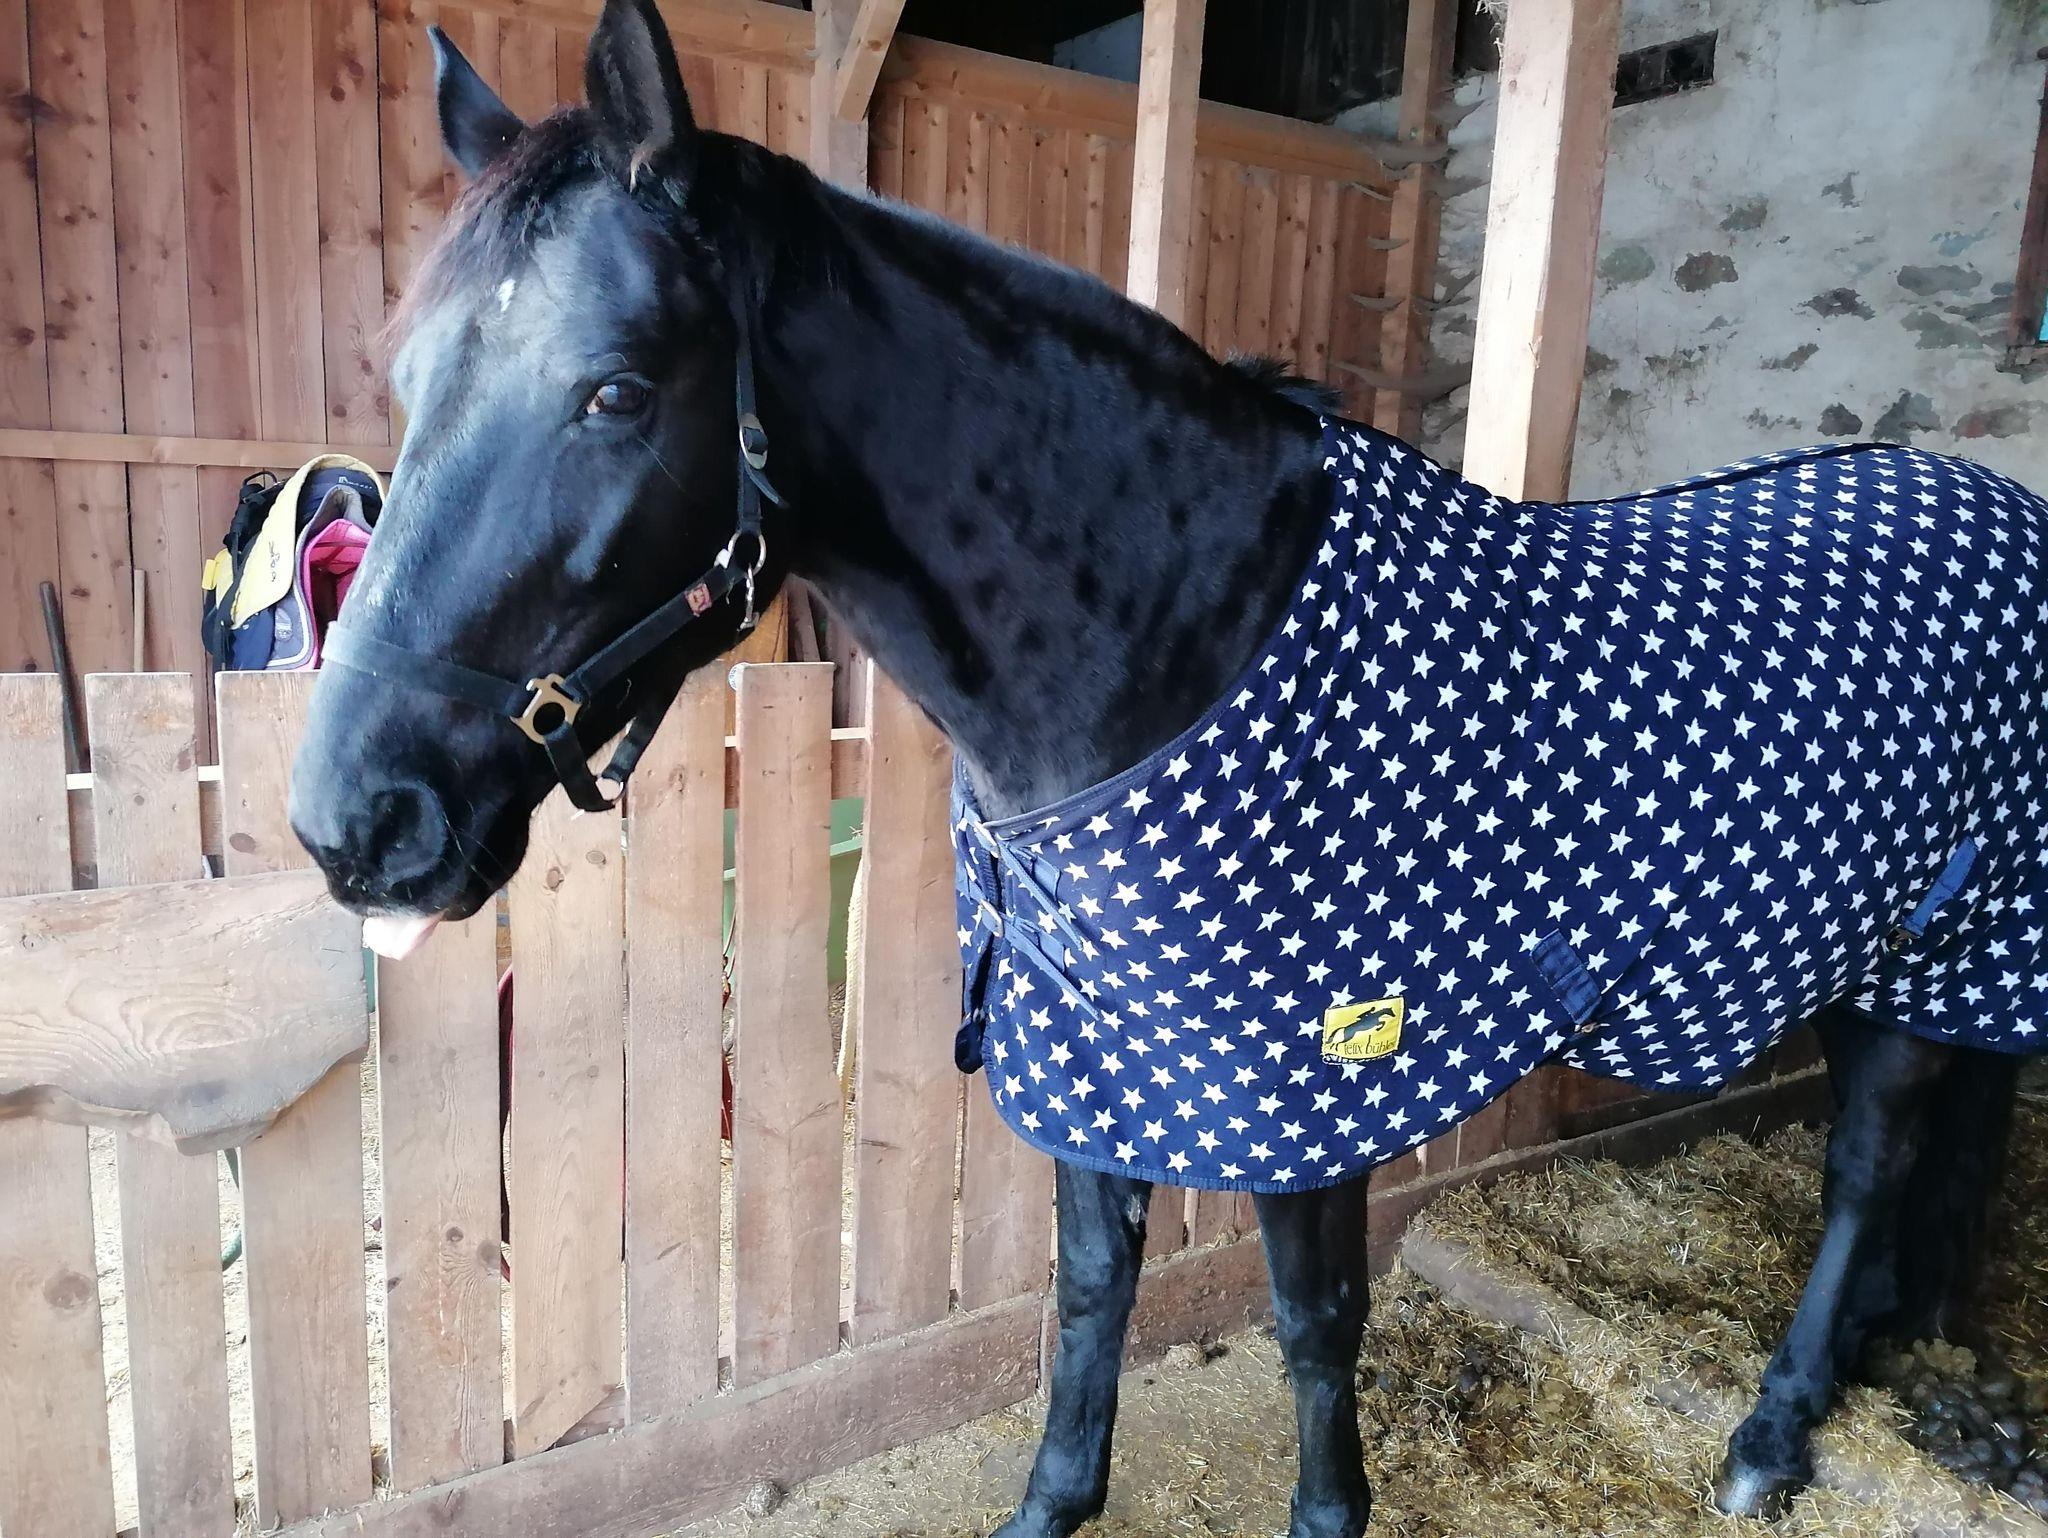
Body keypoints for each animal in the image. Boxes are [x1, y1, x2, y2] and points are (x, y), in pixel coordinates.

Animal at [287, 3, 2040, 1531]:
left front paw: (1331, 1515)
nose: (352, 822)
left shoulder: (1310, 1089)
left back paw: (1774, 1431)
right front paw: (1054, 1502)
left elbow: (1314, 1320)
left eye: (617, 388)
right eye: (408, 380)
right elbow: (1088, 1294)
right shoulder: (1106, 1055)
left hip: (1941, 950)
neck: (1180, 640)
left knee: (1866, 1168)